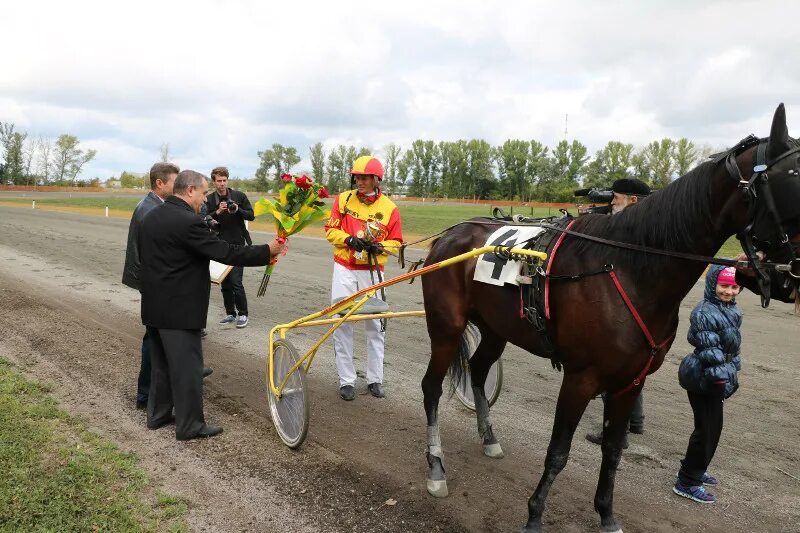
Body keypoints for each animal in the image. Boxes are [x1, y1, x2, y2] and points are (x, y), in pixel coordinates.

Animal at [418, 105, 800, 532]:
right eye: (794, 178)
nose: (788, 281)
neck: (628, 268)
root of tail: (450, 235)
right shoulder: (581, 378)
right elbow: (558, 452)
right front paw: (534, 515)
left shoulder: (630, 380)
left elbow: (614, 450)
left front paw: (606, 513)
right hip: (446, 326)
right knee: (431, 388)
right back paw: (436, 468)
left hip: (496, 328)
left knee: (481, 370)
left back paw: (489, 438)